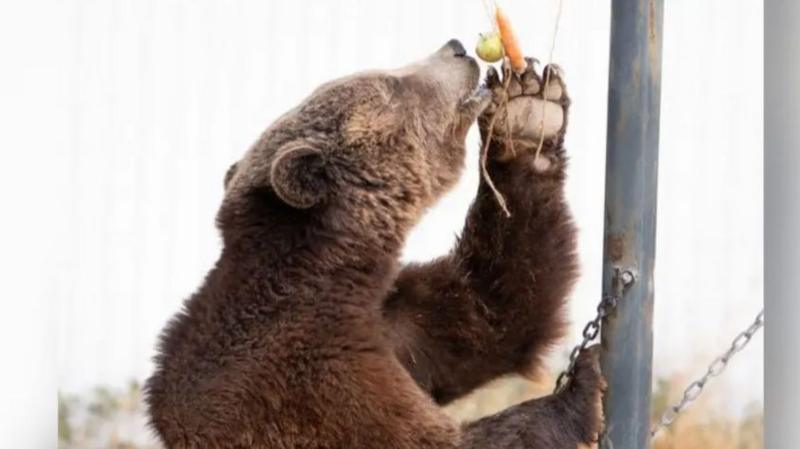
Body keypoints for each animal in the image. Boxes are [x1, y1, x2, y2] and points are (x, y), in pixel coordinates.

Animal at [145, 39, 604, 449]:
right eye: (391, 83)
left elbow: (496, 308)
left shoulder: (393, 316)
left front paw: (528, 109)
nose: (456, 48)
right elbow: (427, 438)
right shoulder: (304, 379)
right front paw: (584, 383)